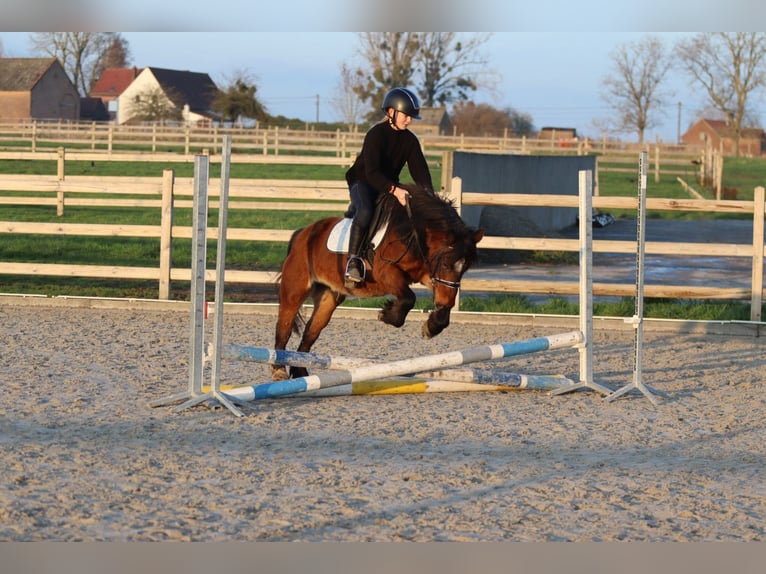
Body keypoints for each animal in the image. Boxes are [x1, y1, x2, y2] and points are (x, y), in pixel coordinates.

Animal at [271, 183, 484, 380]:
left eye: (465, 268)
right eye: (446, 265)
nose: (445, 301)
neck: (412, 232)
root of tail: (302, 234)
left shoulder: (427, 274)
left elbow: (433, 305)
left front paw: (431, 327)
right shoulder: (387, 274)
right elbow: (409, 298)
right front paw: (388, 314)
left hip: (328, 296)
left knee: (310, 333)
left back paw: (300, 372)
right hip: (295, 291)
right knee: (284, 328)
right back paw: (279, 370)